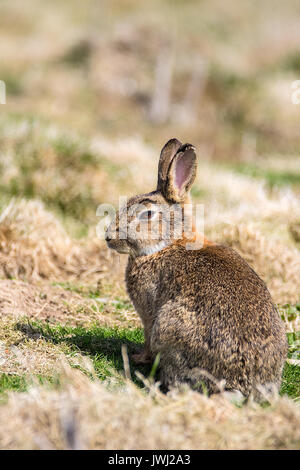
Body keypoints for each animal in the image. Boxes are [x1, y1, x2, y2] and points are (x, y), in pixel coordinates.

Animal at [104, 138, 288, 398]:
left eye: (147, 214)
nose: (109, 237)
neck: (168, 244)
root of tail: (242, 386)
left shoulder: (149, 316)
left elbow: (147, 339)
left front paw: (139, 357)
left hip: (168, 326)